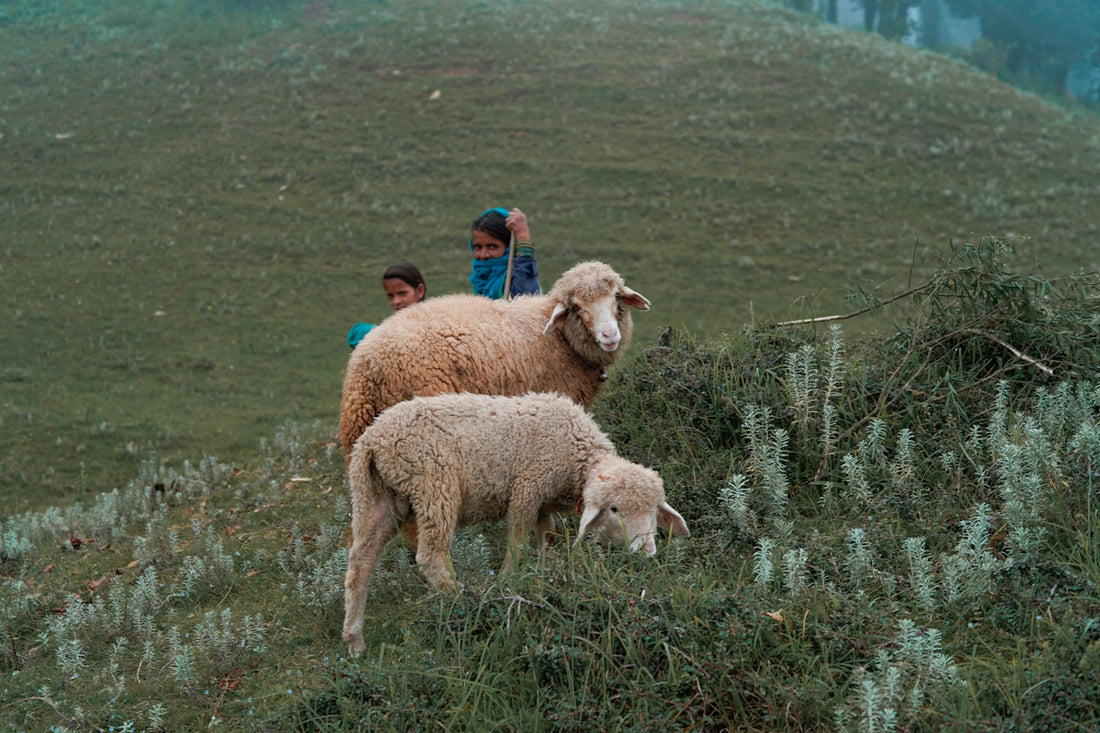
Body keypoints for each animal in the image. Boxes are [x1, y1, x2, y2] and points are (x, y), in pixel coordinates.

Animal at [337, 260, 650, 460]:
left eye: (617, 297)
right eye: (576, 307)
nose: (609, 335)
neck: (559, 339)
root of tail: (369, 364)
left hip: (357, 431)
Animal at [342, 392, 689, 657]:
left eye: (654, 510)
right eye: (615, 509)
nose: (646, 550)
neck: (576, 454)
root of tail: (372, 440)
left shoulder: (543, 504)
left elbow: (546, 537)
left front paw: (545, 571)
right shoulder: (528, 487)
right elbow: (518, 544)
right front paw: (510, 582)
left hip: (383, 497)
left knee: (360, 561)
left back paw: (355, 640)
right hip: (433, 482)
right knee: (430, 555)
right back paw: (465, 598)